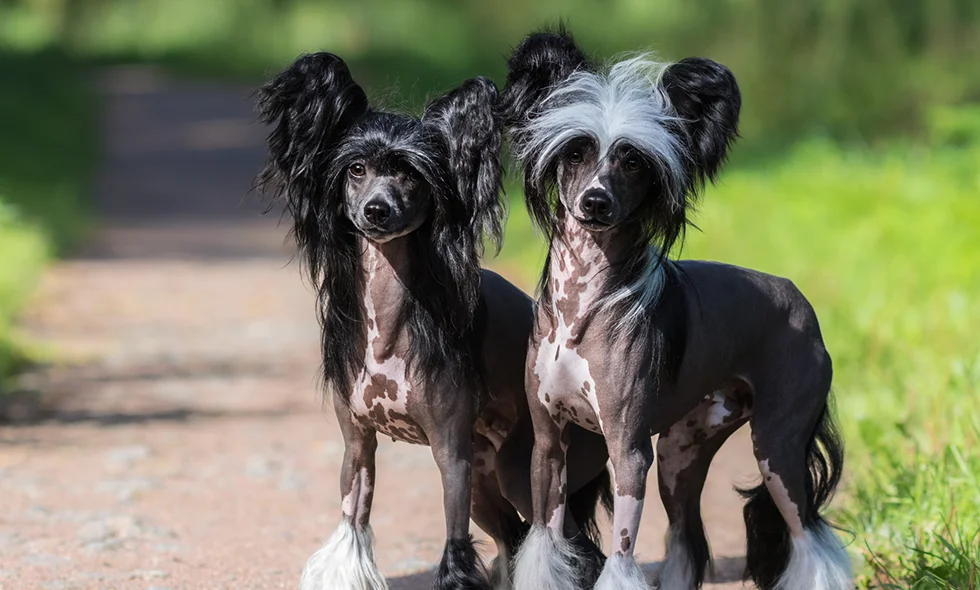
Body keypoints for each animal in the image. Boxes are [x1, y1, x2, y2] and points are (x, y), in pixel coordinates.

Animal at [258, 53, 612, 588]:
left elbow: (455, 545)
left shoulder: (451, 455)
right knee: (514, 538)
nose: (376, 210)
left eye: (410, 175)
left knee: (578, 550)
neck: (387, 324)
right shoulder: (357, 447)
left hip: (526, 471)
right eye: (356, 169)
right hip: (490, 480)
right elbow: (352, 527)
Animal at [502, 31, 852, 590]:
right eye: (576, 151)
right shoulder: (549, 445)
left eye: (633, 161)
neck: (581, 309)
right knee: (689, 539)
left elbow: (621, 556)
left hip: (776, 447)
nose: (595, 202)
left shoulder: (628, 452)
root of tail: (798, 298)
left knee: (810, 541)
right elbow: (546, 545)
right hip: (679, 453)